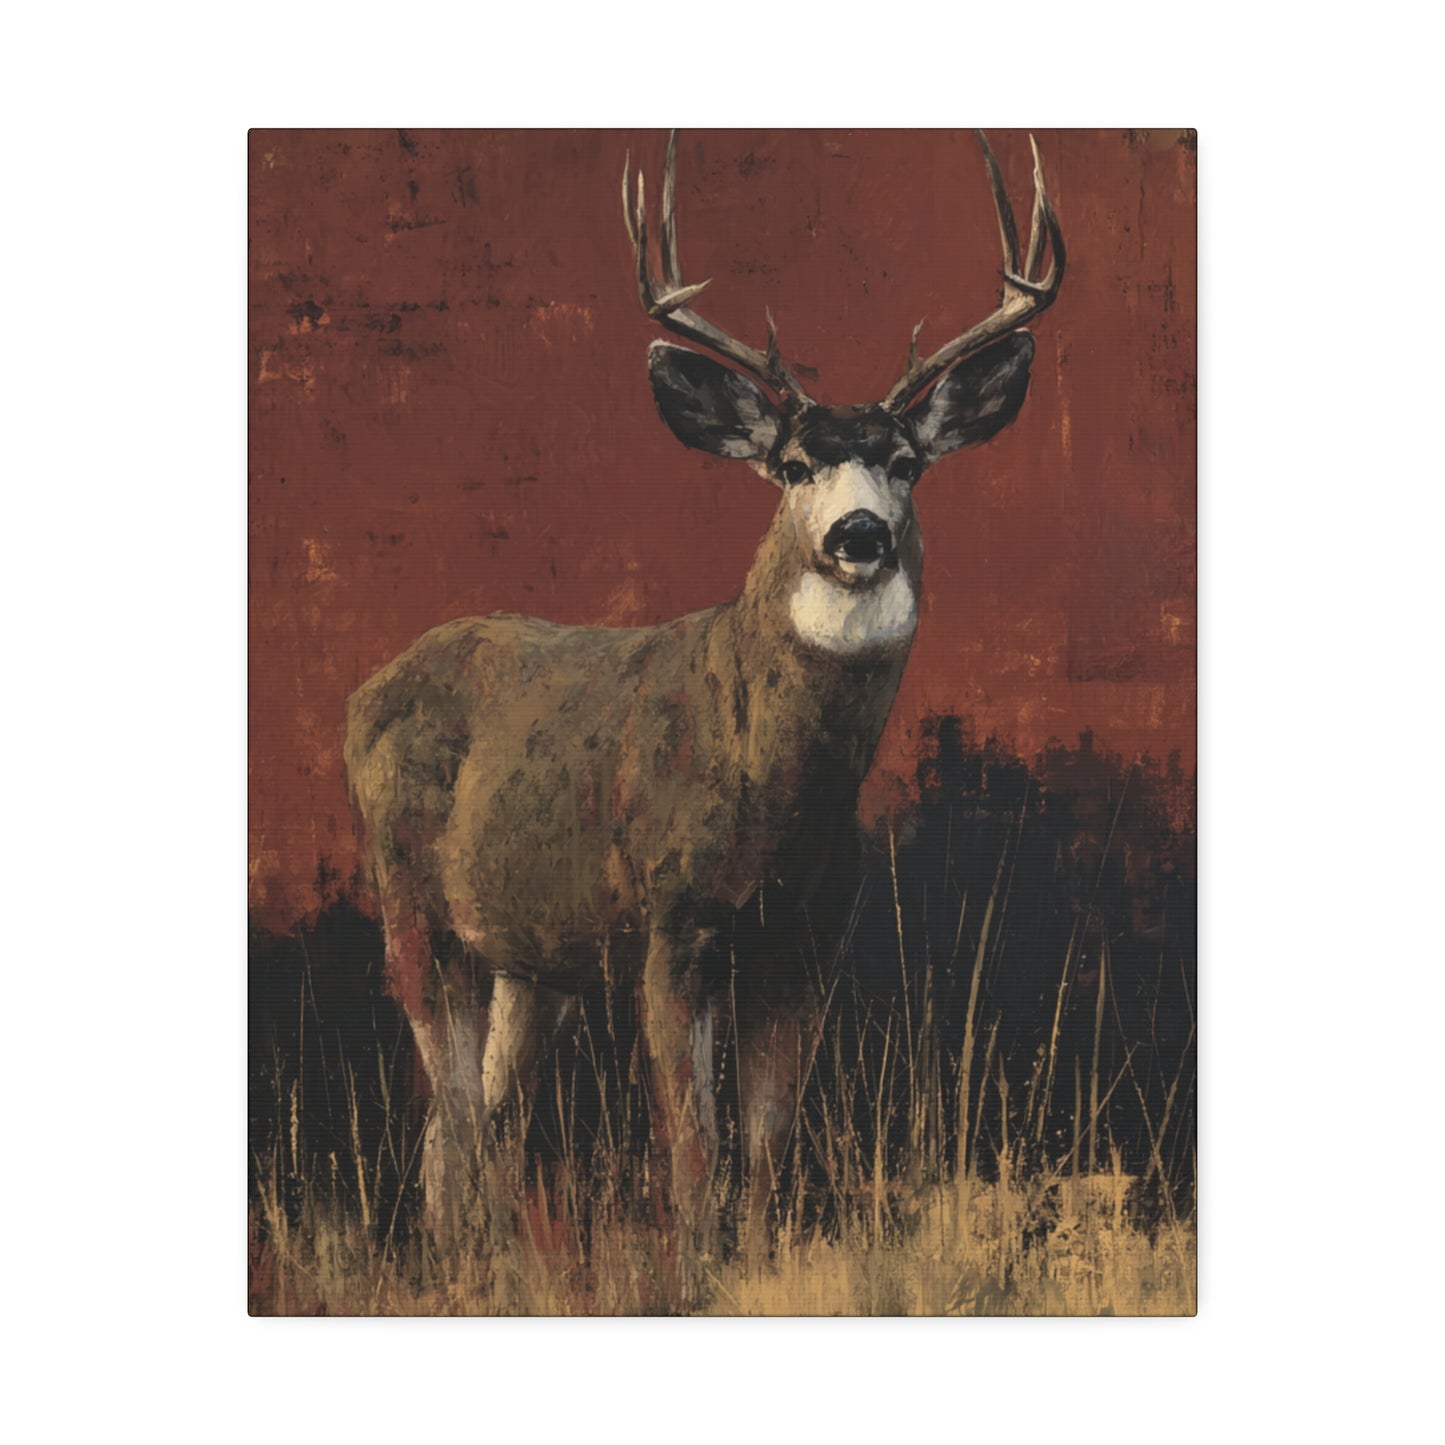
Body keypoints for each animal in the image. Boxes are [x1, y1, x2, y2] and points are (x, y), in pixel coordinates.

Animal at [344, 129, 1064, 1266]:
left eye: (906, 462)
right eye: (794, 463)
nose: (859, 533)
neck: (770, 794)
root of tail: (366, 689)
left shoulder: (803, 939)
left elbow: (765, 1139)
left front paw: (756, 1261)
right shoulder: (668, 919)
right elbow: (691, 1138)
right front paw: (690, 1267)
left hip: (527, 954)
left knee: (482, 1113)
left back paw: (490, 1258)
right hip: (408, 898)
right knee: (450, 1103)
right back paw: (466, 1260)